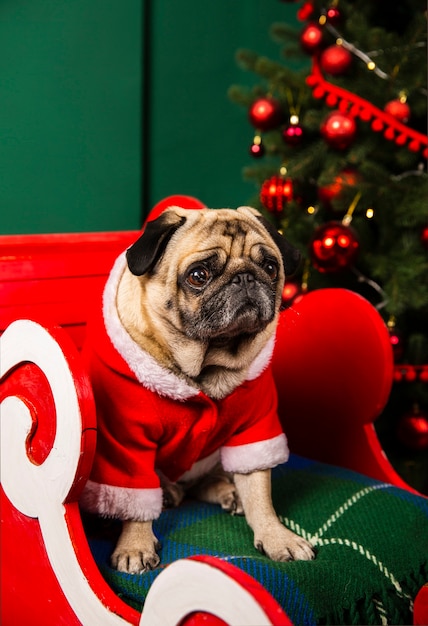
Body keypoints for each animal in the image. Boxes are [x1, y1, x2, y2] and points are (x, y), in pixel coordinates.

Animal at [80, 205, 314, 572]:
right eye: (198, 275)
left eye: (270, 267)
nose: (244, 277)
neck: (206, 365)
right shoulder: (127, 442)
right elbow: (134, 501)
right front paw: (135, 546)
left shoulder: (255, 429)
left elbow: (260, 491)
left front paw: (277, 536)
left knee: (211, 482)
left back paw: (228, 493)